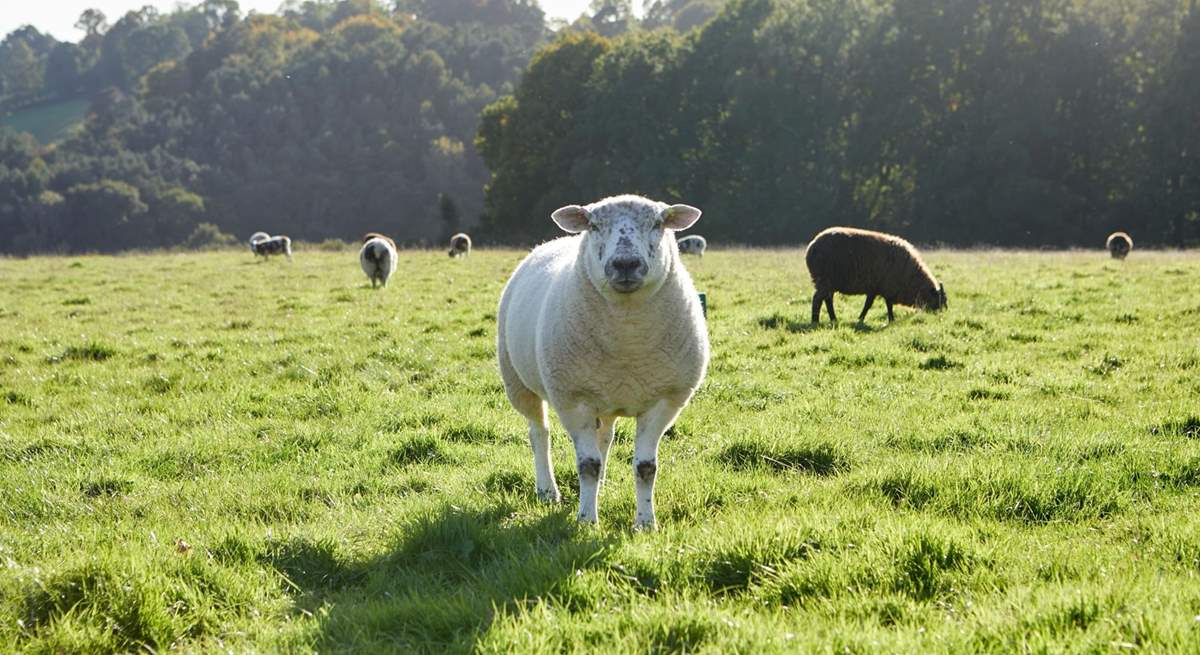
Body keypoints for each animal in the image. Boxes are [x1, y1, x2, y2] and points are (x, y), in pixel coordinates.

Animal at [494, 194, 705, 530]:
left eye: (658, 223)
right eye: (593, 225)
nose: (625, 264)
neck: (628, 341)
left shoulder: (665, 401)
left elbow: (646, 467)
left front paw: (646, 523)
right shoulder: (573, 401)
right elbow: (587, 465)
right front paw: (586, 519)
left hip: (606, 396)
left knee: (605, 436)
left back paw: (603, 482)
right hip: (518, 383)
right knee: (539, 434)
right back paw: (547, 490)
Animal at [806, 226, 945, 323]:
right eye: (939, 300)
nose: (941, 315)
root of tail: (811, 246)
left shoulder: (879, 288)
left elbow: (884, 305)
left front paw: (890, 320)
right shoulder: (883, 287)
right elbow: (873, 305)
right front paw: (862, 319)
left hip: (828, 283)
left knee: (827, 300)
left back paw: (833, 319)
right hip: (824, 280)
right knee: (818, 299)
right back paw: (815, 321)